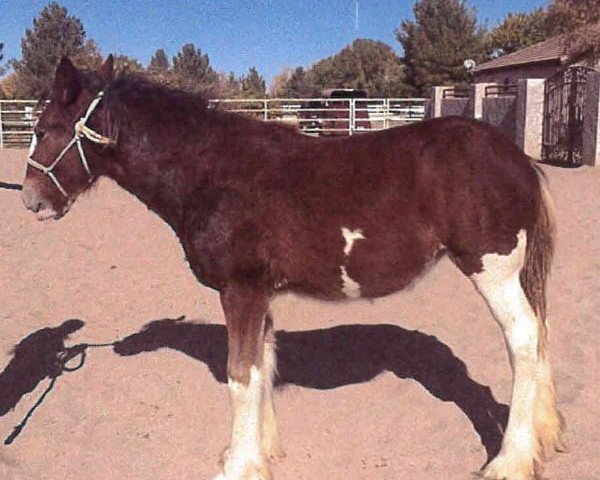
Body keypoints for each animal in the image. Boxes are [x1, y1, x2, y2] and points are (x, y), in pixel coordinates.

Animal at [22, 57, 568, 480]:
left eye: (43, 130)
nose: (31, 200)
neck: (212, 173)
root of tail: (517, 158)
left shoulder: (239, 291)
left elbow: (239, 375)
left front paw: (238, 466)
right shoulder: (260, 294)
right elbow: (261, 368)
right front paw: (261, 453)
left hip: (493, 271)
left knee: (523, 342)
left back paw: (509, 461)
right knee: (540, 337)